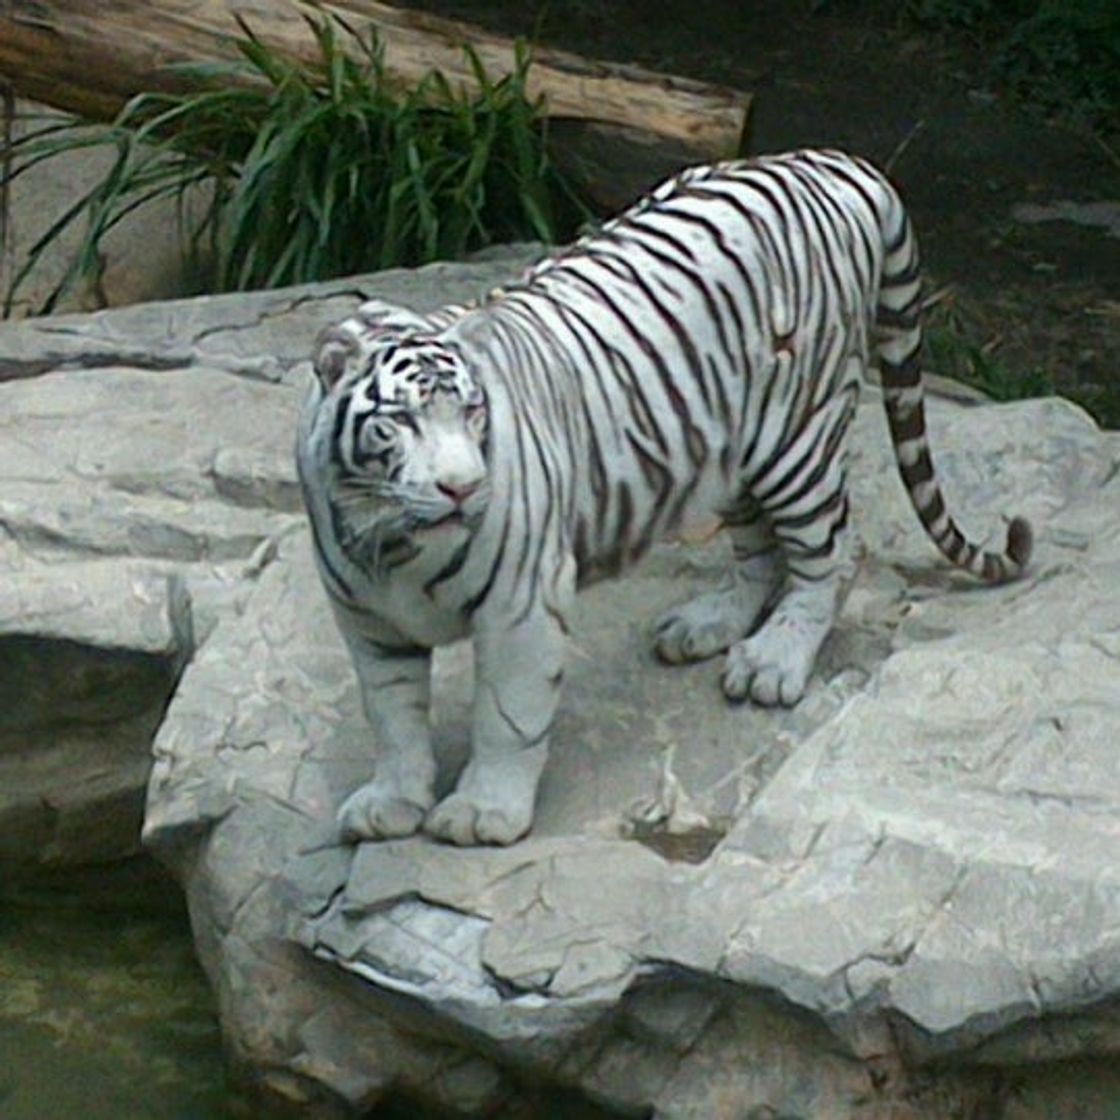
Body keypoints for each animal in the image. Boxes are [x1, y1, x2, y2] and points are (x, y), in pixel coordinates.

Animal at [297, 151, 1030, 846]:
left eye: (474, 413)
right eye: (400, 421)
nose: (463, 486)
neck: (392, 541)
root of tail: (837, 162)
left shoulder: (520, 603)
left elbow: (507, 717)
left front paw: (482, 813)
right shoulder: (366, 621)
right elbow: (391, 718)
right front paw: (391, 803)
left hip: (796, 436)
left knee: (836, 551)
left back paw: (772, 663)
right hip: (728, 446)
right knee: (759, 553)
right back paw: (707, 627)